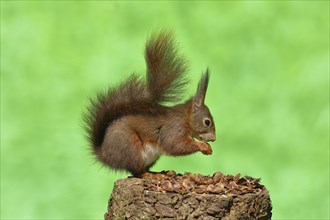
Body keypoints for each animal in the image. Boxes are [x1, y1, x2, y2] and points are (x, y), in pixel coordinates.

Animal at [84, 31, 215, 176]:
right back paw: (149, 175)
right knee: (137, 171)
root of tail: (104, 155)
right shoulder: (173, 128)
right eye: (207, 122)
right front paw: (202, 146)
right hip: (130, 147)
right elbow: (175, 145)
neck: (185, 118)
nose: (214, 139)